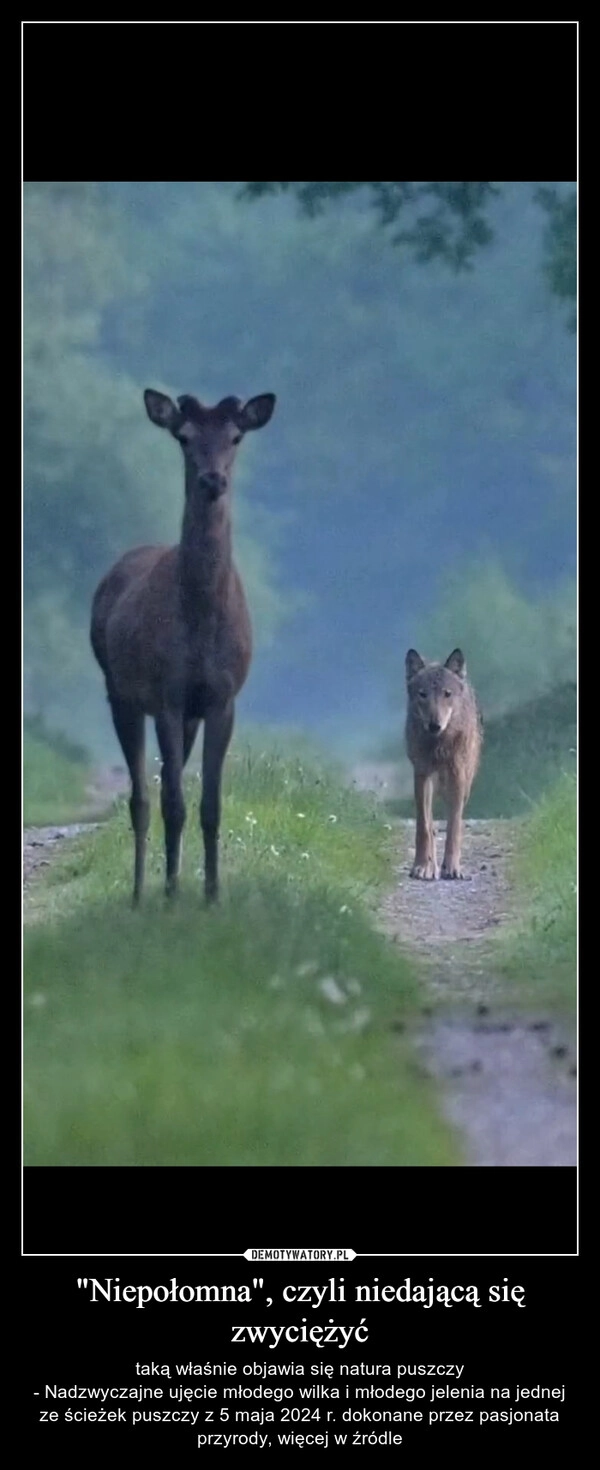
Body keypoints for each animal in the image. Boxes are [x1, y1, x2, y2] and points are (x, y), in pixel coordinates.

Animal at [90, 385, 276, 899]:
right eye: (184, 437)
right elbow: (173, 803)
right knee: (142, 796)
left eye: (236, 436)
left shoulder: (221, 698)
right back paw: (139, 894)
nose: (213, 479)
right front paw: (173, 896)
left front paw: (212, 895)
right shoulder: (168, 694)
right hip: (120, 691)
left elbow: (210, 804)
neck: (200, 623)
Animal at [402, 649, 482, 876]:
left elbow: (454, 827)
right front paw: (422, 866)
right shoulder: (421, 774)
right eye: (423, 694)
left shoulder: (457, 777)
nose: (434, 725)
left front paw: (452, 868)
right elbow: (423, 826)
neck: (438, 744)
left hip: (464, 785)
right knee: (429, 824)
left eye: (447, 694)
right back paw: (431, 866)